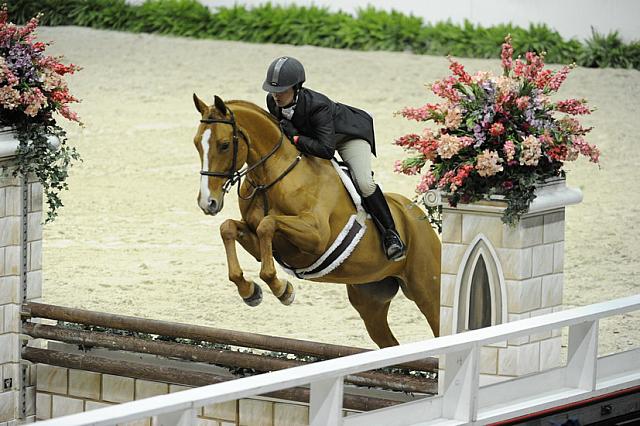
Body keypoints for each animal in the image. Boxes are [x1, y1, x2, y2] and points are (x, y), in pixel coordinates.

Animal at [191, 94, 440, 346]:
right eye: (196, 143)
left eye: (224, 145)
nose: (208, 203)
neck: (271, 178)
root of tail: (417, 215)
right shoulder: (263, 239)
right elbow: (229, 227)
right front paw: (250, 291)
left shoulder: (317, 236)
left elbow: (267, 224)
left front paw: (282, 290)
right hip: (370, 299)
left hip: (428, 291)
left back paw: (394, 244)